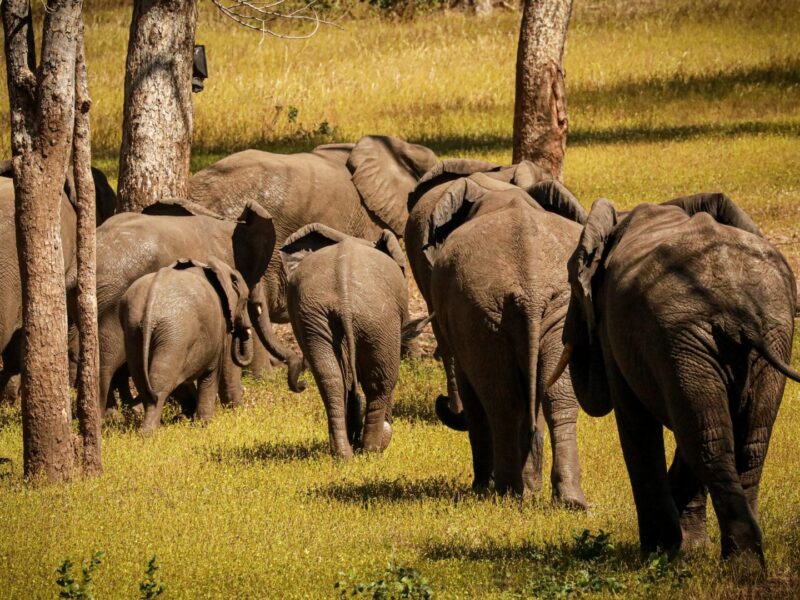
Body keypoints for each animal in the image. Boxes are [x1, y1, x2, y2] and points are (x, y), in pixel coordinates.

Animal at [119, 258, 254, 433]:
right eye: (245, 302)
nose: (244, 328)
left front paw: (188, 419)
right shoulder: (221, 323)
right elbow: (216, 371)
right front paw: (205, 425)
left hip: (134, 330)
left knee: (145, 381)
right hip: (174, 332)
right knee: (161, 382)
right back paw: (149, 434)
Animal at [280, 223, 409, 458]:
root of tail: (344, 291)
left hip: (316, 315)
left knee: (330, 378)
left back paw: (344, 453)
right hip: (380, 317)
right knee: (381, 380)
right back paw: (372, 449)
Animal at [422, 174, 588, 505]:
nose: (442, 402)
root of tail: (531, 289)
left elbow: (474, 394)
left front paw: (482, 487)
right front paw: (532, 487)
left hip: (483, 314)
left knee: (501, 401)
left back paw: (506, 493)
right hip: (549, 309)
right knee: (554, 398)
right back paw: (568, 501)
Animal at [551, 193, 800, 561]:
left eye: (571, 280)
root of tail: (738, 307)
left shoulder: (618, 331)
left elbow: (636, 423)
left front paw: (660, 550)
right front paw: (689, 548)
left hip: (690, 333)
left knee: (710, 440)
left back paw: (734, 560)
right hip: (755, 334)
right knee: (738, 439)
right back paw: (745, 561)